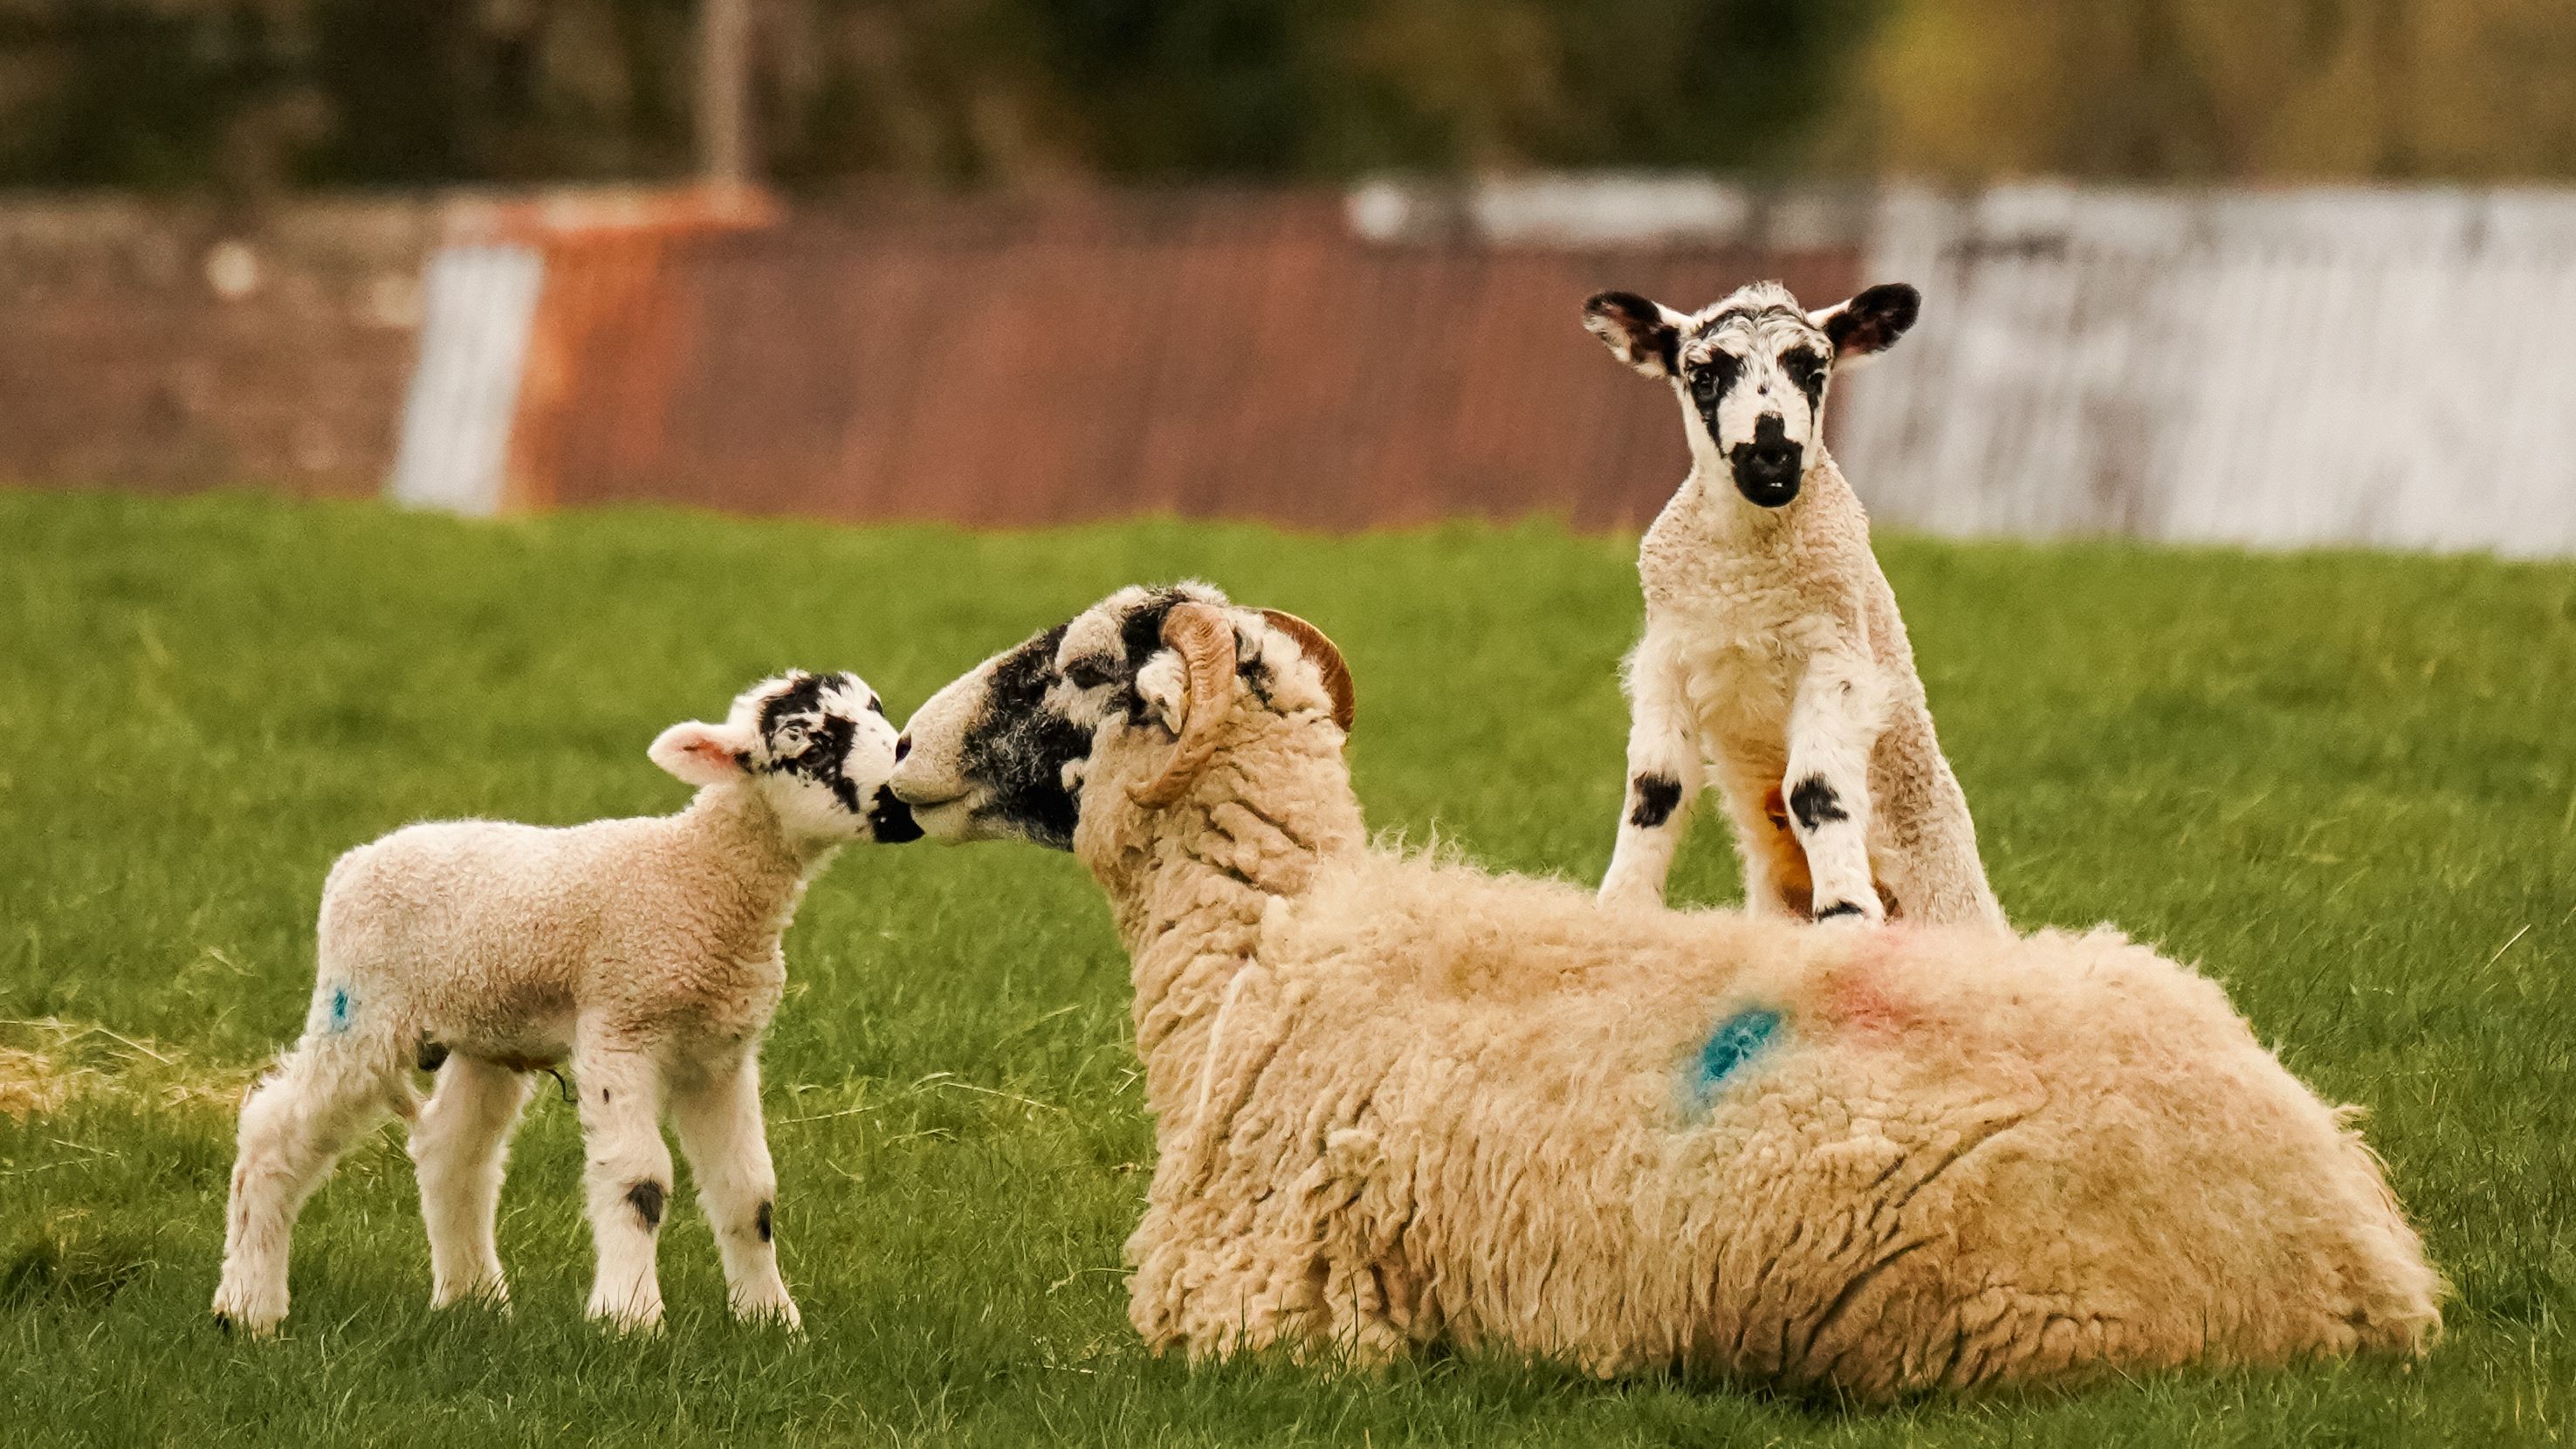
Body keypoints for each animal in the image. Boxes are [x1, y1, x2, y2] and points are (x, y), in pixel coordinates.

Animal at [211, 670, 919, 1336]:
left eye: (879, 712)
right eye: (808, 744)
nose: (903, 794)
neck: (699, 876)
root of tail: (355, 860)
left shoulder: (721, 1053)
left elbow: (750, 1192)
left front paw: (772, 1321)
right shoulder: (621, 1026)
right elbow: (640, 1180)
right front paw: (630, 1320)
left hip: (485, 1032)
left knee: (451, 1152)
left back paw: (471, 1301)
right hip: (360, 1009)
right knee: (273, 1133)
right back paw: (248, 1308)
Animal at [1581, 280, 2006, 931]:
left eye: (1813, 370)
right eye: (1702, 376)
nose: (1772, 453)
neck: (1742, 582)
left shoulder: (1835, 655)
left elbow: (1816, 790)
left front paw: (1845, 914)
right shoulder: (1666, 655)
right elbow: (1654, 789)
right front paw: (1620, 908)